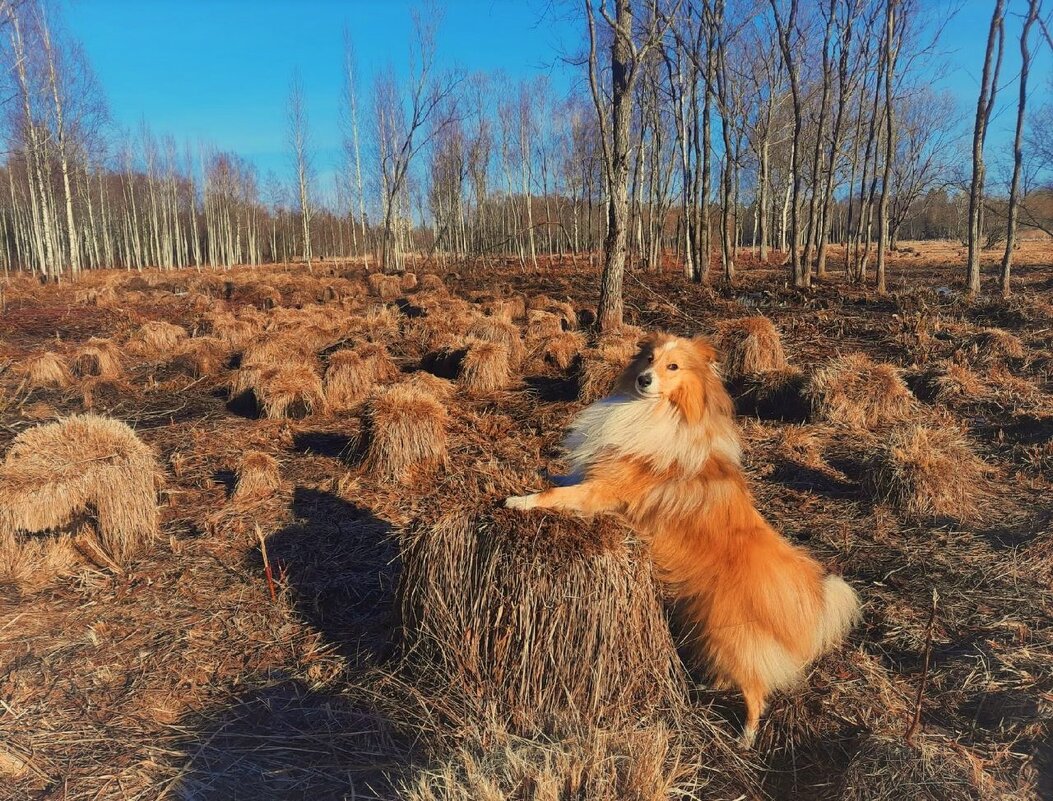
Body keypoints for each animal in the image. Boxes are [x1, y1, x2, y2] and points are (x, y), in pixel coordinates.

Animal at [505, 330, 859, 745]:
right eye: (649, 359)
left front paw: (519, 500)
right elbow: (564, 481)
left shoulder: (605, 490)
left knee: (756, 687)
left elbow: (554, 496)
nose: (644, 381)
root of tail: (800, 581)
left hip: (729, 635)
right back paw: (710, 688)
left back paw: (746, 737)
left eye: (673, 367)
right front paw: (545, 472)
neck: (657, 412)